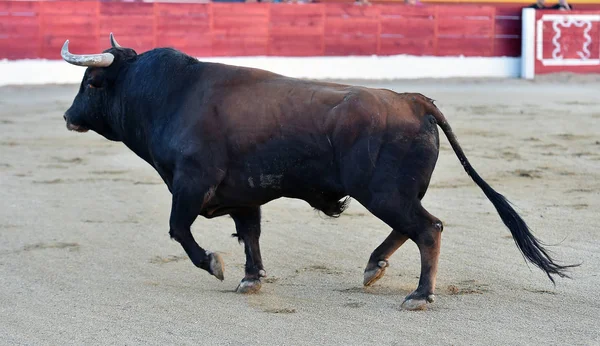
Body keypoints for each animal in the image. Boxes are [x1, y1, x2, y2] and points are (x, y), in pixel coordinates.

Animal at [61, 33, 576, 310]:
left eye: (91, 82)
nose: (68, 116)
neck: (170, 95)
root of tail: (413, 100)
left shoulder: (190, 185)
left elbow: (179, 230)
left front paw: (214, 265)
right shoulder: (242, 195)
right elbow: (250, 235)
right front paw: (251, 278)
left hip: (383, 192)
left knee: (427, 229)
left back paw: (419, 295)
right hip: (393, 193)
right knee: (414, 226)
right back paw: (373, 268)